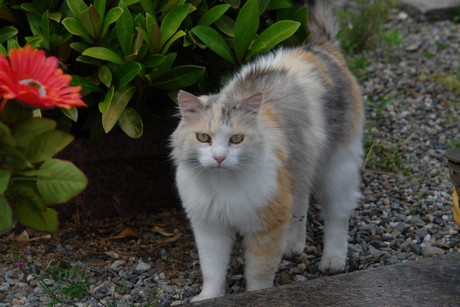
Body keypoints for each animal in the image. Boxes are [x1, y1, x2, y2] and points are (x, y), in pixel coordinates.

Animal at [170, 0, 362, 304]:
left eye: (236, 139)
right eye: (203, 138)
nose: (219, 157)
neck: (223, 185)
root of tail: (319, 47)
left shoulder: (265, 228)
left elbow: (258, 274)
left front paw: (255, 296)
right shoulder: (209, 227)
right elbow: (212, 269)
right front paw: (209, 296)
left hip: (337, 168)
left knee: (337, 217)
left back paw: (333, 261)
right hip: (300, 167)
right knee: (301, 203)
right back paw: (294, 244)